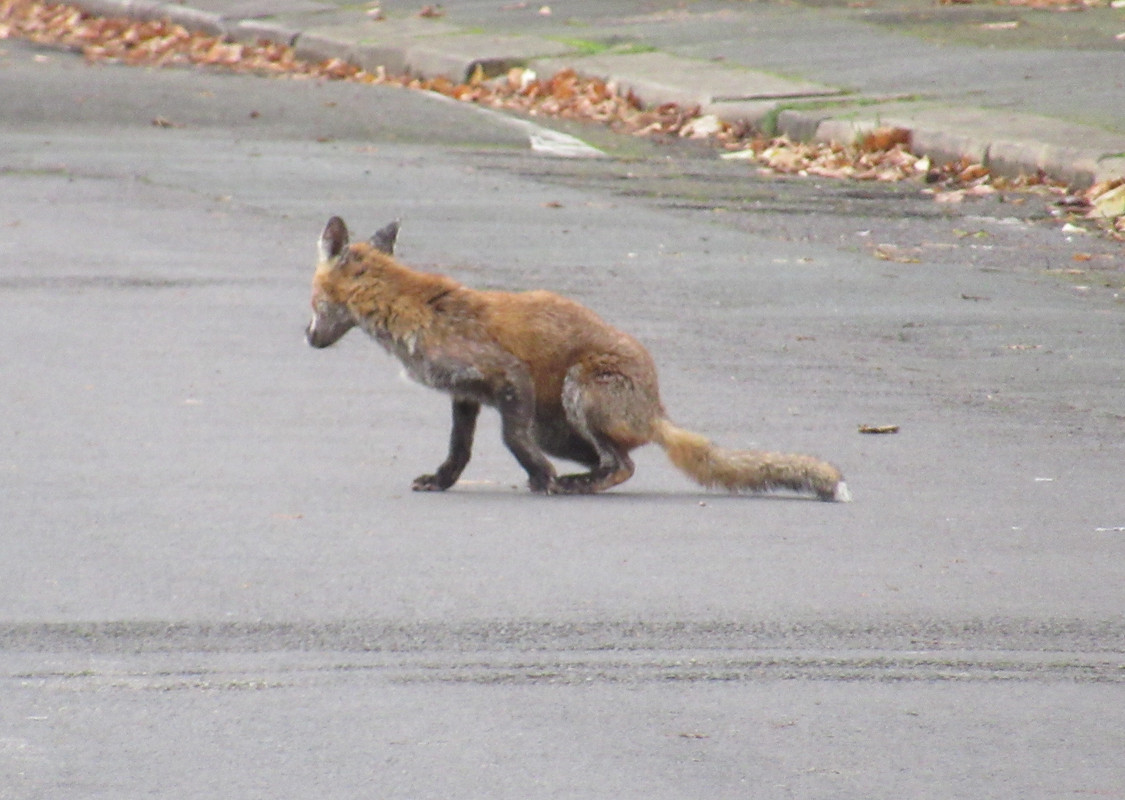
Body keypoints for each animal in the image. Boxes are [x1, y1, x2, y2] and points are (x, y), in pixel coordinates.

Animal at [305, 216, 850, 501]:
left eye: (312, 303)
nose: (306, 338)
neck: (413, 308)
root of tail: (656, 409)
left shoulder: (508, 378)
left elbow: (511, 439)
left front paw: (542, 479)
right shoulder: (467, 394)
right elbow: (459, 450)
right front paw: (442, 481)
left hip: (579, 393)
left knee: (623, 465)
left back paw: (572, 483)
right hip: (559, 428)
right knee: (619, 459)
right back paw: (579, 478)